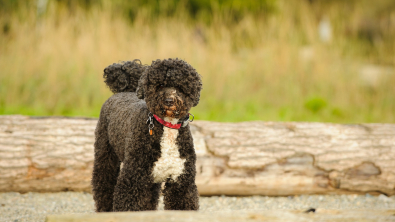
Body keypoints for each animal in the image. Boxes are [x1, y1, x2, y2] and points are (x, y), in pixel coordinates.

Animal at [91, 57, 203, 212]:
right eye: (160, 85)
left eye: (180, 87)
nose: (169, 101)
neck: (166, 127)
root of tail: (124, 91)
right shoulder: (133, 178)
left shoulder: (180, 181)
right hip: (105, 155)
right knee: (103, 184)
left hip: (151, 181)